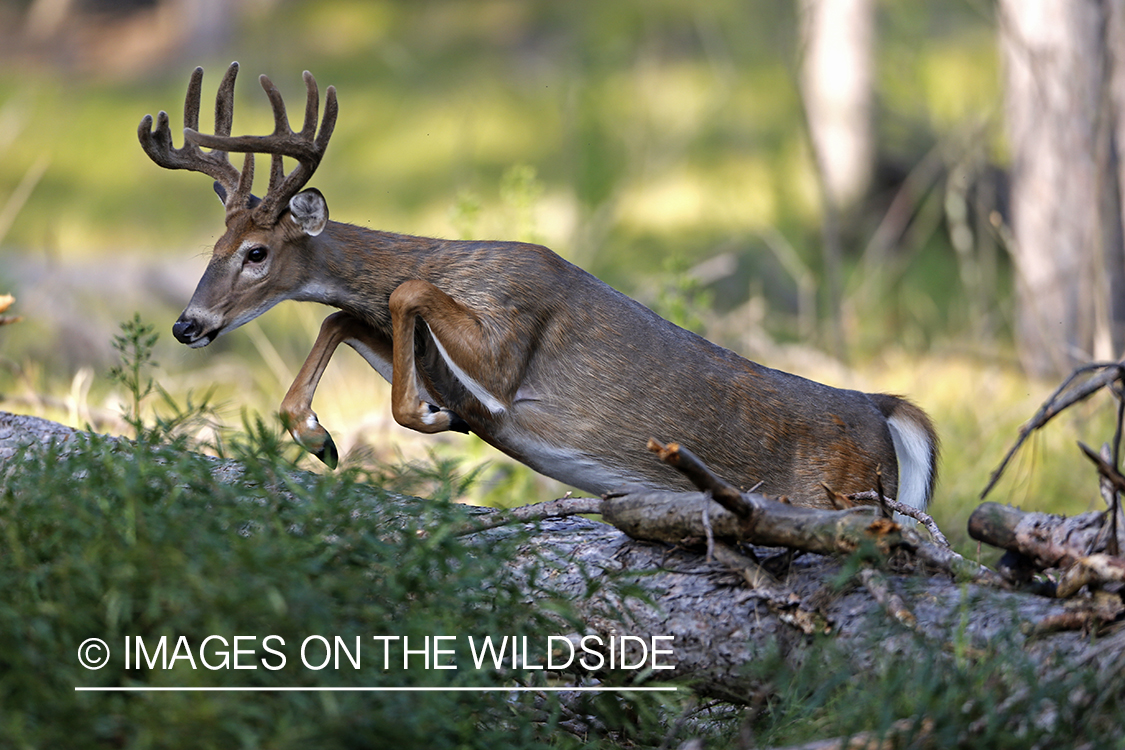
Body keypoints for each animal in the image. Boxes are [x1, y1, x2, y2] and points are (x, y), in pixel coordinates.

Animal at [136, 62, 936, 510]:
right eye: (215, 247)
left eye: (258, 253)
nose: (187, 324)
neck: (461, 262)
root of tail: (883, 409)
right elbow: (342, 318)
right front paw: (319, 435)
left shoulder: (510, 338)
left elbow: (402, 294)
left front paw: (426, 417)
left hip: (843, 492)